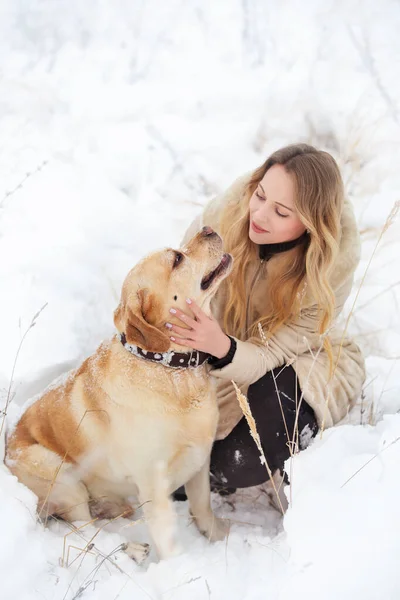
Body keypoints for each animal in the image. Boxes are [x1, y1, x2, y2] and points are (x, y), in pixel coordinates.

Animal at [5, 225, 231, 564]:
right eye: (177, 259)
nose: (208, 228)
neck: (167, 367)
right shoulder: (153, 481)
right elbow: (167, 536)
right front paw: (179, 568)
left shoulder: (200, 459)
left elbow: (202, 506)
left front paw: (217, 537)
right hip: (59, 475)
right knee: (83, 531)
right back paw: (131, 549)